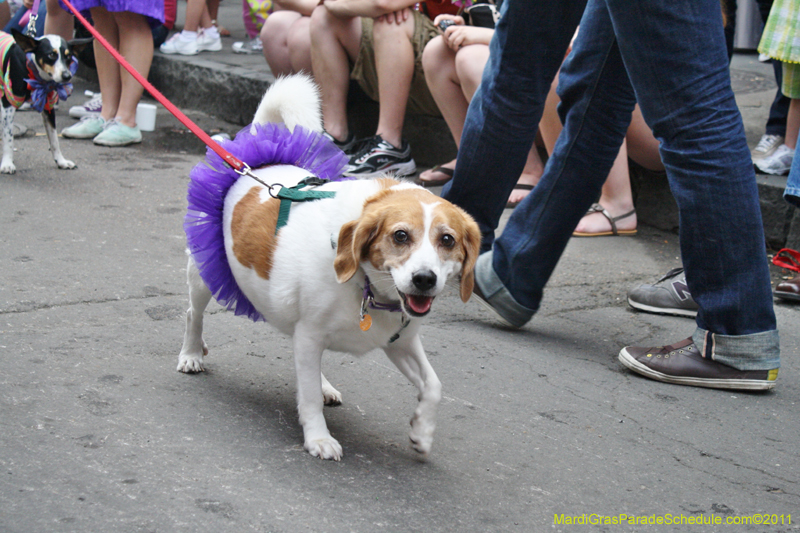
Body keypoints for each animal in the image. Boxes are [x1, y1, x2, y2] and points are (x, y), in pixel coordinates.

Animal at [0, 29, 92, 175]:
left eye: (68, 56)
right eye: (51, 55)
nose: (67, 76)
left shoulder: (48, 107)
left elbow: (54, 139)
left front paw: (61, 161)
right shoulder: (8, 103)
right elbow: (8, 137)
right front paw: (7, 163)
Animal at [180, 76, 482, 462]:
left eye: (447, 239)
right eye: (400, 235)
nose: (424, 280)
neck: (366, 285)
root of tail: (255, 166)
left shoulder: (399, 341)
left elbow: (434, 385)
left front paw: (422, 432)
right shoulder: (311, 334)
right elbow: (307, 398)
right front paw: (318, 438)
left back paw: (324, 385)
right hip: (204, 276)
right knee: (194, 314)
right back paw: (191, 353)